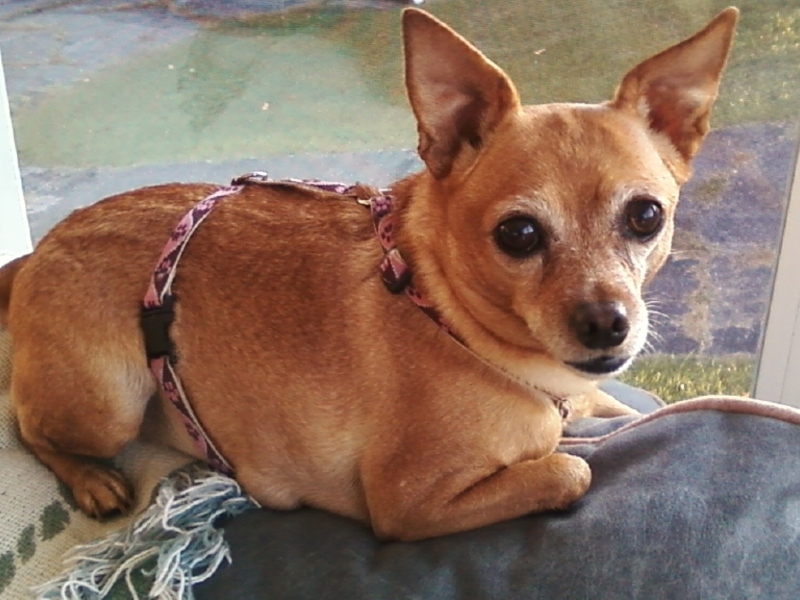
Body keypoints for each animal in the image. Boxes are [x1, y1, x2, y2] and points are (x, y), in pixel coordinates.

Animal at [0, 7, 736, 540]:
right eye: (519, 234)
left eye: (646, 216)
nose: (608, 325)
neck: (442, 312)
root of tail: (36, 255)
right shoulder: (409, 503)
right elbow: (566, 471)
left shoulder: (591, 394)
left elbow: (619, 408)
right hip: (108, 403)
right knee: (23, 421)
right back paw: (90, 480)